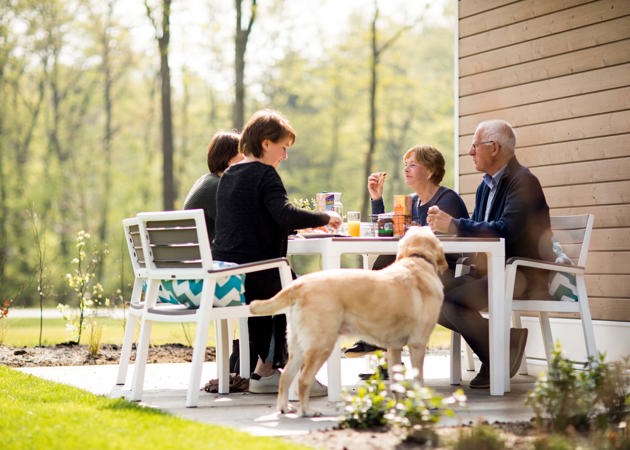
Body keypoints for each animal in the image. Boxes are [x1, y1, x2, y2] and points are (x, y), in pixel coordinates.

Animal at [249, 227, 446, 416]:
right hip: (322, 344)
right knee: (303, 379)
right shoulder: (417, 343)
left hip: (298, 346)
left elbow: (397, 383)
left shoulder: (394, 347)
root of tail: (298, 285)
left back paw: (284, 407)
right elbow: (419, 379)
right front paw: (425, 404)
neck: (417, 259)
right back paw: (307, 411)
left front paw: (399, 407)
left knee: (286, 377)